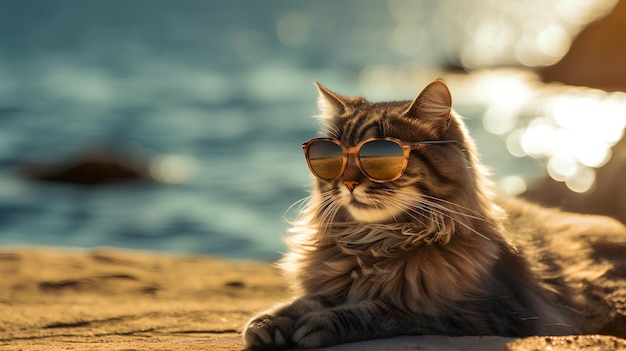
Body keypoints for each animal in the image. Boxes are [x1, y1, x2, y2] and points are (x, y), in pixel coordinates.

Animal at [240, 79, 624, 350]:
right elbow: (305, 300)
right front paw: (269, 322)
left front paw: (322, 323)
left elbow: (380, 309)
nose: (346, 183)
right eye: (332, 159)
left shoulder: (477, 316)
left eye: (378, 158)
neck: (377, 245)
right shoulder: (337, 283)